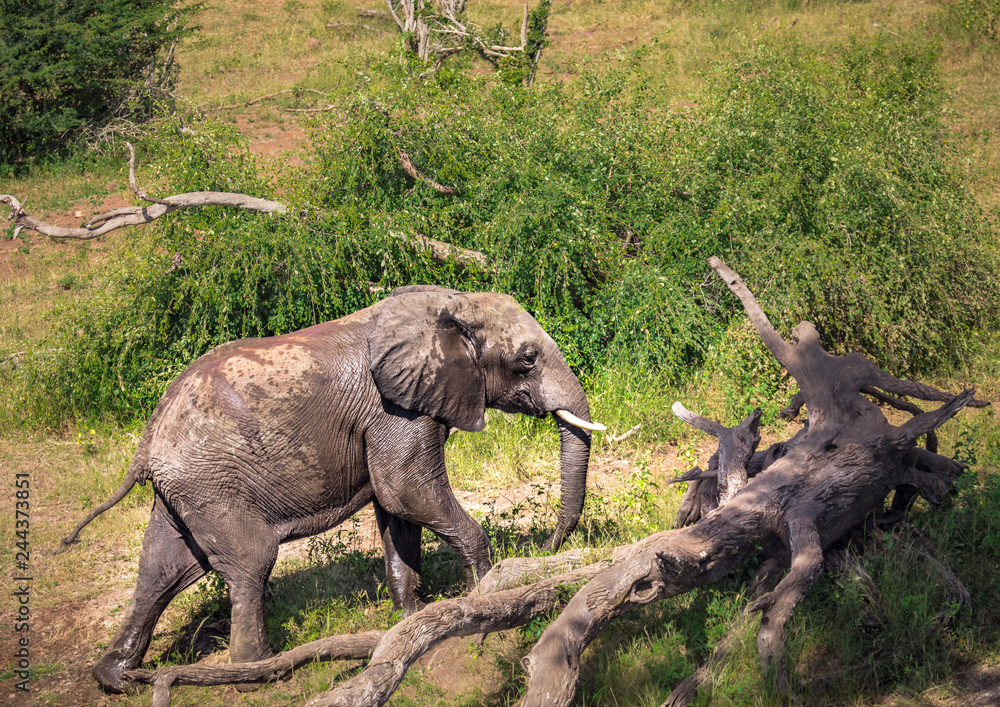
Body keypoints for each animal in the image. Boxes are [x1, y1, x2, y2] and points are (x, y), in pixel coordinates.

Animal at [62, 285, 603, 693]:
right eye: (527, 359)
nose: (549, 547)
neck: (447, 305)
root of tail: (147, 442)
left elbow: (397, 509)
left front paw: (411, 616)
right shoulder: (394, 409)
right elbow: (405, 490)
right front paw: (481, 597)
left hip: (188, 491)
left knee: (162, 568)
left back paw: (119, 679)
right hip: (214, 484)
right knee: (250, 560)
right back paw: (260, 672)